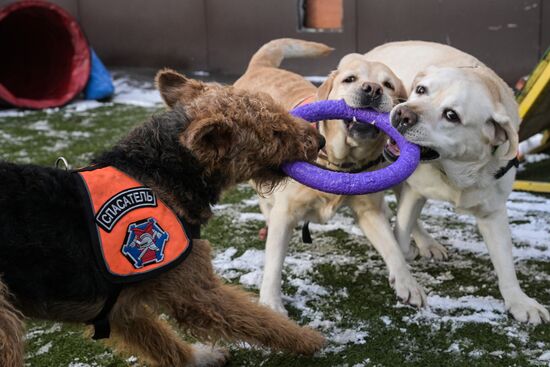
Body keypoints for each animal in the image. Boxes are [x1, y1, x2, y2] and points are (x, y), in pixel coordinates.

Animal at [0, 69, 328, 367]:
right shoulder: (196, 292)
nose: (321, 139)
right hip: (7, 324)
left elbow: (163, 344)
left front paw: (201, 357)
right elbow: (260, 320)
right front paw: (309, 339)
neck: (158, 170)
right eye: (274, 133)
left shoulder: (121, 310)